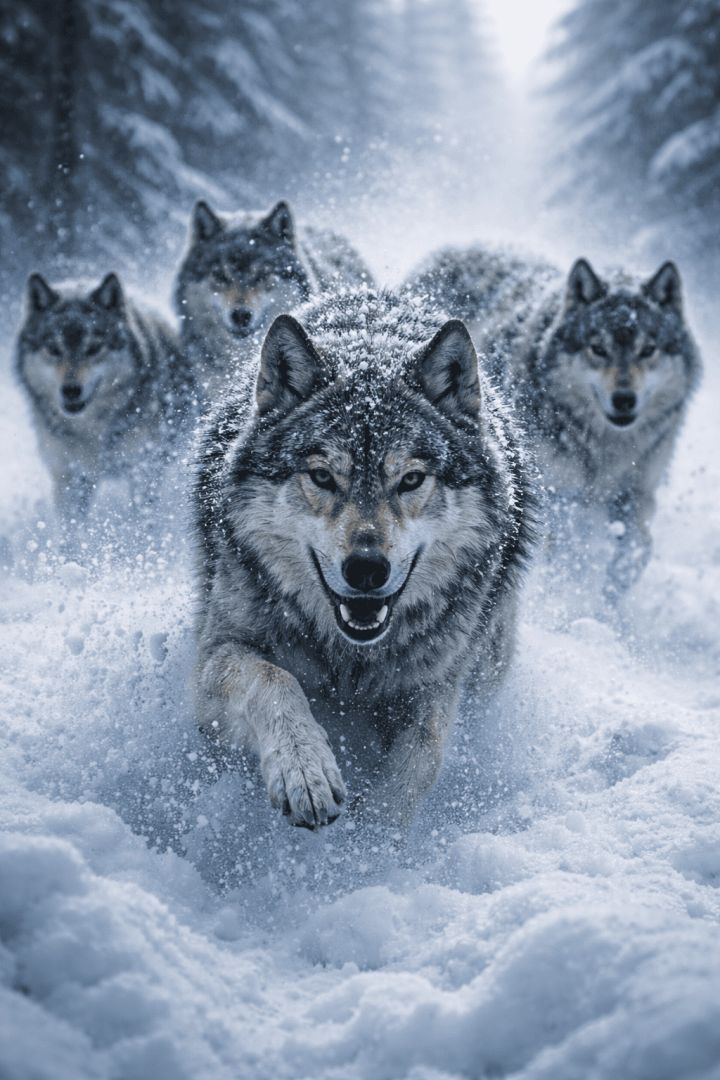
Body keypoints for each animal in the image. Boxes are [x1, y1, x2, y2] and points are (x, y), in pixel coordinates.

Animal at [15, 271, 196, 532]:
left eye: (93, 348)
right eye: (54, 349)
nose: (70, 391)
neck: (92, 429)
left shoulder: (142, 472)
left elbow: (141, 526)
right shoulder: (69, 477)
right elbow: (71, 533)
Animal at [192, 290, 535, 829]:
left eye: (411, 480)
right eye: (323, 476)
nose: (367, 569)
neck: (350, 661)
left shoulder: (435, 684)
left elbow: (423, 756)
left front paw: (371, 839)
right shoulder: (216, 660)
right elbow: (274, 679)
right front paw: (305, 772)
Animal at [406, 248, 702, 600]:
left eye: (648, 350)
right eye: (598, 349)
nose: (624, 399)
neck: (605, 451)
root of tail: (454, 251)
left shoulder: (638, 492)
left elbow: (639, 547)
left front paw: (613, 593)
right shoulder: (557, 497)